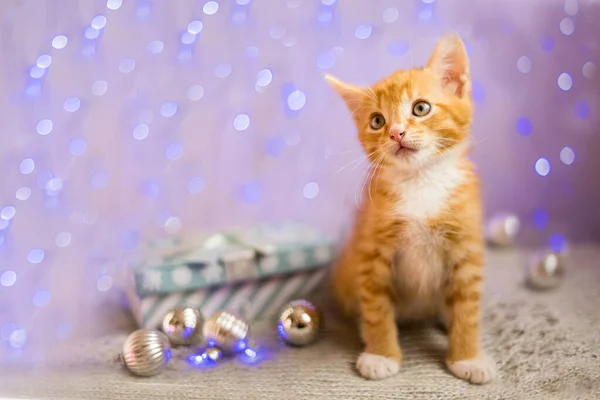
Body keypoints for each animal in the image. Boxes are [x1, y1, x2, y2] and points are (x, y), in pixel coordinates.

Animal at [326, 32, 494, 382]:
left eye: (421, 108)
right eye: (377, 121)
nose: (395, 132)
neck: (420, 181)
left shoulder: (467, 248)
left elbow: (467, 308)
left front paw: (468, 357)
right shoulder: (371, 250)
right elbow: (376, 307)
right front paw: (381, 354)